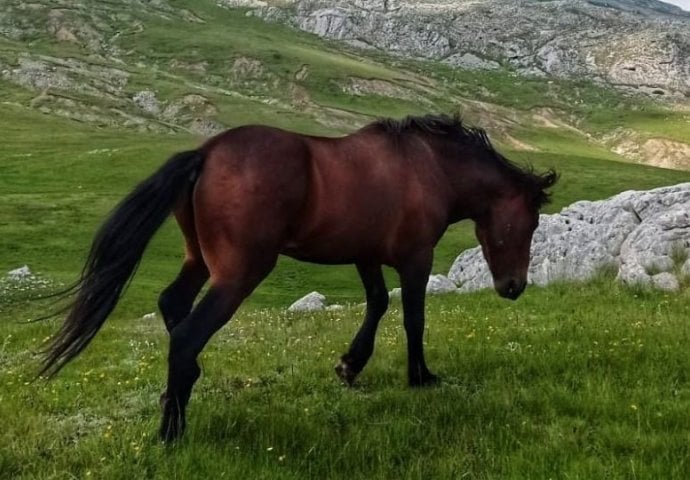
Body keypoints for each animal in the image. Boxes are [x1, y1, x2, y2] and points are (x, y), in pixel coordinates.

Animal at [40, 113, 556, 442]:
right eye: (530, 222)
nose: (514, 288)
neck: (428, 167)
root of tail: (205, 154)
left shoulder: (365, 255)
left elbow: (377, 303)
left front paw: (350, 365)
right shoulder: (415, 258)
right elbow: (413, 317)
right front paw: (420, 377)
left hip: (199, 261)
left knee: (173, 306)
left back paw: (177, 394)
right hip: (239, 272)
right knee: (187, 333)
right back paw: (172, 430)